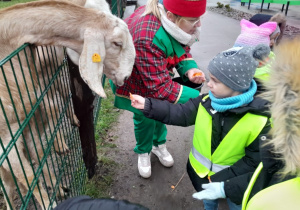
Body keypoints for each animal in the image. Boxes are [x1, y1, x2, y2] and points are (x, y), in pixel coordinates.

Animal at [0, 0, 135, 209]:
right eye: (117, 43)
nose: (127, 76)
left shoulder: (28, 115)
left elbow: (39, 153)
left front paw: (58, 187)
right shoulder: (7, 135)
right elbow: (29, 177)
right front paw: (50, 204)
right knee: (7, 185)